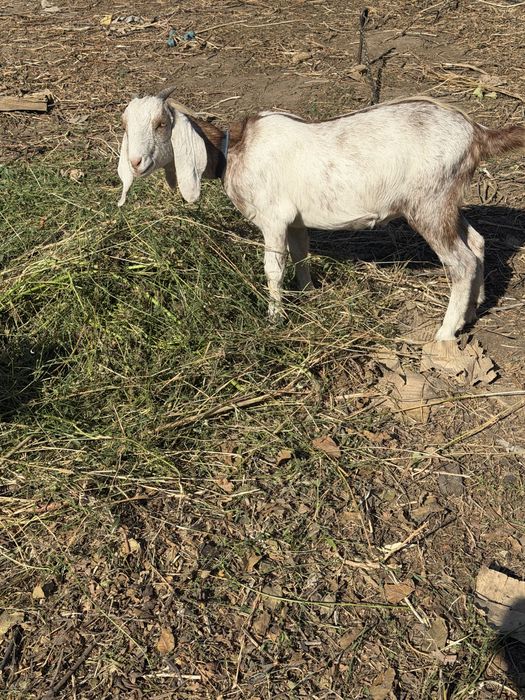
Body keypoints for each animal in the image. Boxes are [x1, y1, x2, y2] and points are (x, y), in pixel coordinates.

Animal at [117, 87, 525, 340]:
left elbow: (273, 268)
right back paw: (472, 312)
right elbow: (301, 257)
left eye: (161, 124)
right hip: (446, 201)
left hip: (428, 203)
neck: (234, 152)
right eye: (125, 125)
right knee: (477, 243)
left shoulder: (274, 219)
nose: (135, 163)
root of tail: (475, 133)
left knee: (461, 262)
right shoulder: (296, 222)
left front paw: (275, 317)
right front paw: (309, 295)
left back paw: (445, 332)